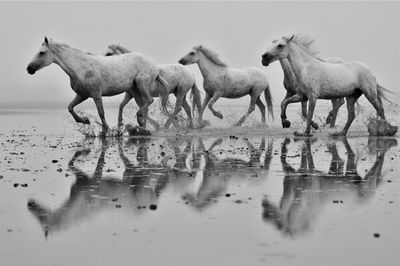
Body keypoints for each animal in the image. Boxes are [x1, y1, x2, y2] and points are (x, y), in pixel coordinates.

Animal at [26, 37, 167, 135]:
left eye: (42, 52)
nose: (29, 69)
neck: (81, 69)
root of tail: (154, 65)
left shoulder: (96, 95)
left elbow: (101, 113)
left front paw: (106, 131)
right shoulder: (82, 95)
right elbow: (70, 107)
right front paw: (85, 120)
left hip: (141, 85)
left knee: (149, 101)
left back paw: (138, 121)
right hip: (135, 90)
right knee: (145, 106)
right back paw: (142, 128)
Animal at [262, 34, 390, 136]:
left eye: (280, 45)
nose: (264, 58)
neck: (305, 68)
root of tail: (370, 72)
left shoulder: (312, 97)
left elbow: (309, 113)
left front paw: (306, 132)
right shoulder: (302, 96)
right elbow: (285, 103)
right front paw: (285, 122)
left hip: (369, 93)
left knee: (380, 109)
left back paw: (384, 130)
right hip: (351, 97)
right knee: (351, 115)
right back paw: (341, 133)